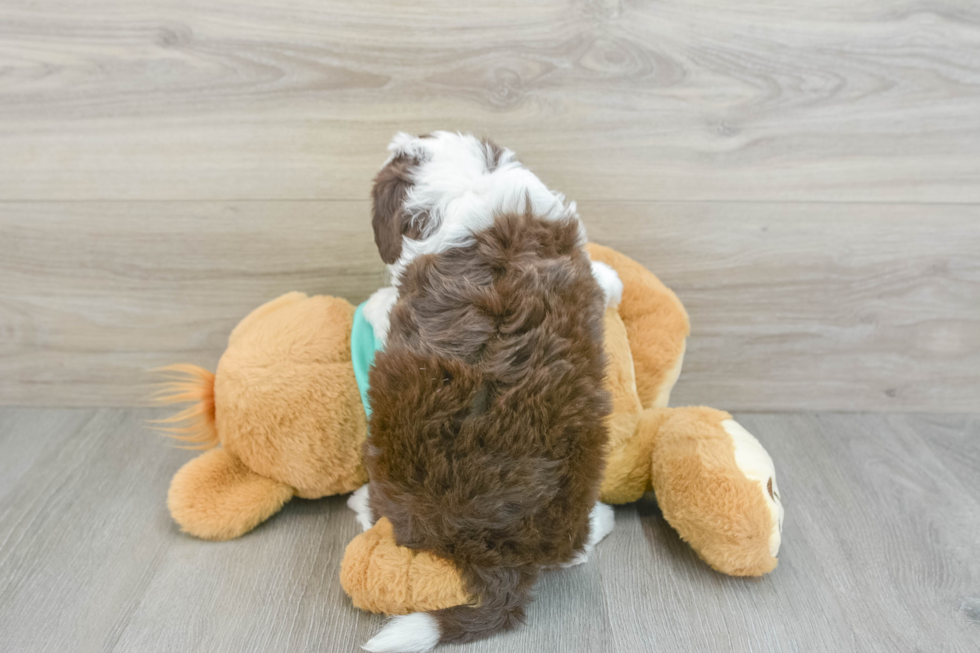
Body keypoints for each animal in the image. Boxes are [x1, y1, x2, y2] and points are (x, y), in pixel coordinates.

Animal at [352, 132, 616, 652]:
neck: (477, 184)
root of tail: (502, 554)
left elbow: (382, 302)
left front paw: (372, 301)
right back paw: (600, 525)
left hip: (386, 465)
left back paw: (359, 505)